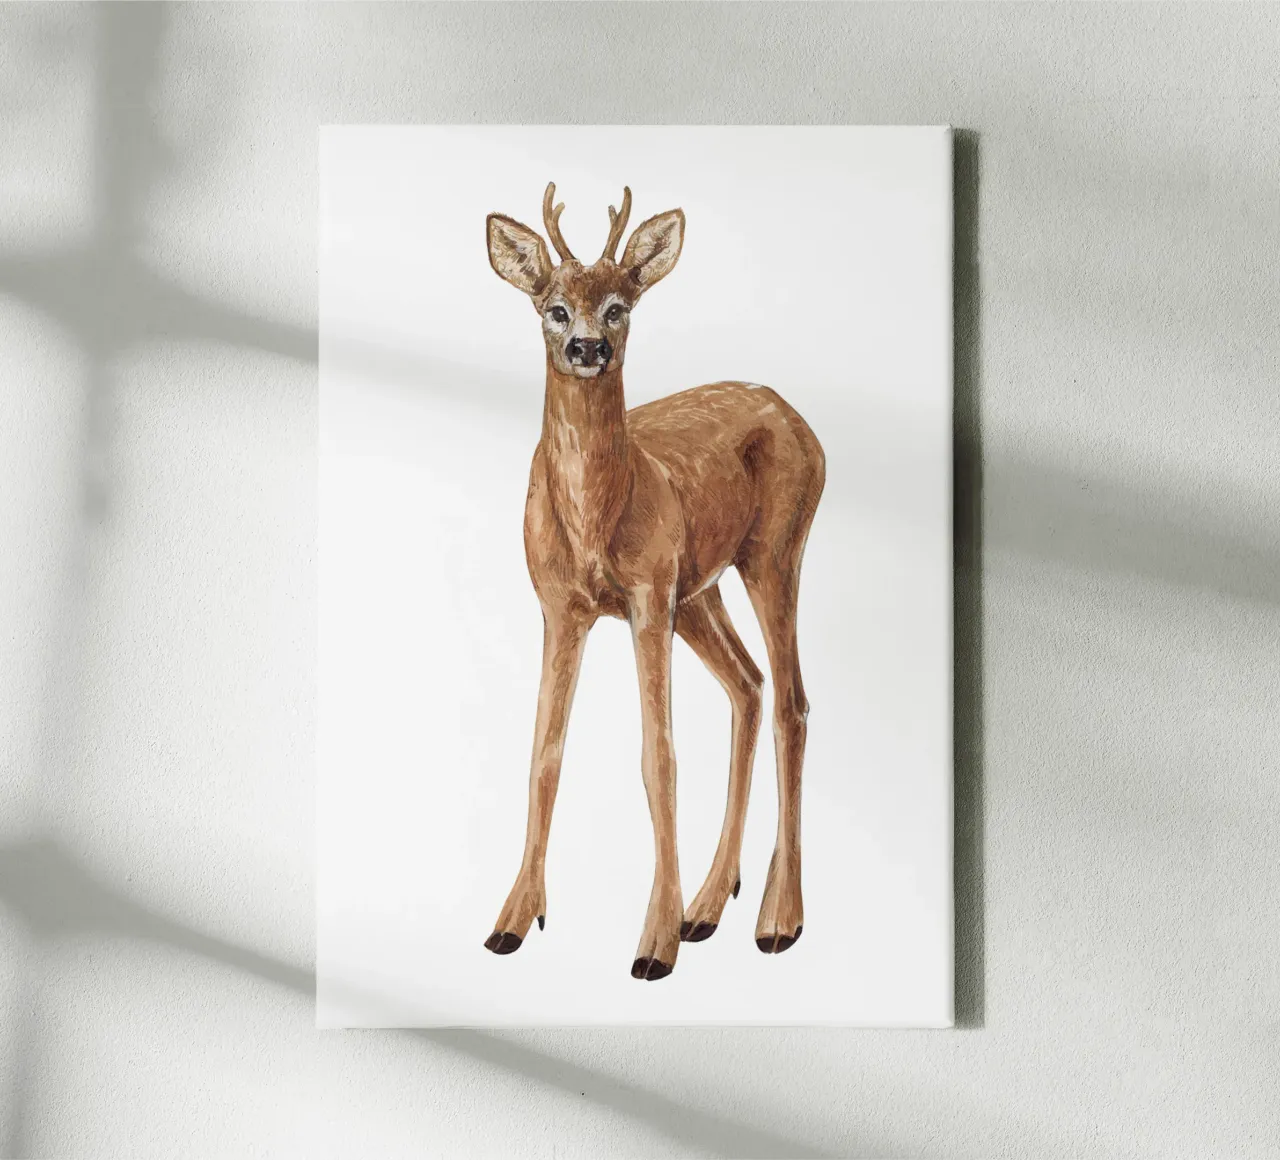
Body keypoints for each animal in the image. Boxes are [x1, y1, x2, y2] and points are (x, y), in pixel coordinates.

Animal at [482, 182, 825, 981]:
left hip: (772, 553)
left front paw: (652, 944)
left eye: (620, 305)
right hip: (699, 589)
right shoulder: (560, 606)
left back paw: (776, 920)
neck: (596, 519)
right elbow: (544, 755)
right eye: (553, 306)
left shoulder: (644, 597)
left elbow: (657, 757)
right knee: (749, 684)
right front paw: (513, 919)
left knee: (792, 701)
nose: (588, 347)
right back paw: (709, 905)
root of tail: (800, 420)